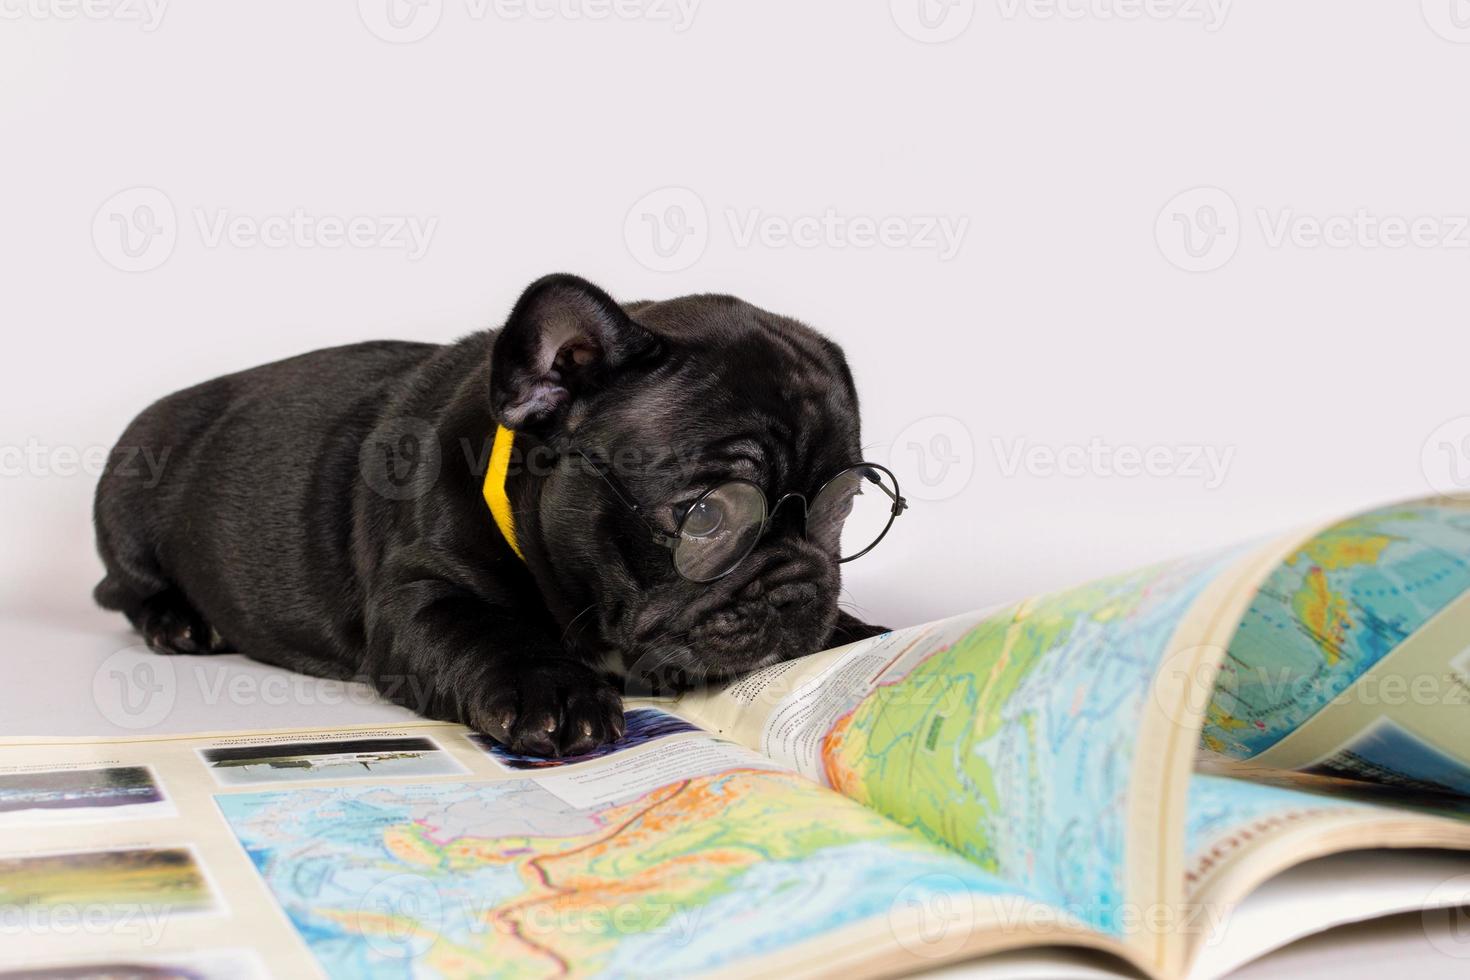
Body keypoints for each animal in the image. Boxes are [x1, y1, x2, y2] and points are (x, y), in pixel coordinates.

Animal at [100, 276, 893, 758]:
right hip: (128, 487)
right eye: (707, 517)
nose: (801, 590)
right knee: (125, 588)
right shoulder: (421, 596)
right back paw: (178, 622)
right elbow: (489, 632)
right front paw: (556, 691)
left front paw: (852, 633)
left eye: (843, 511)